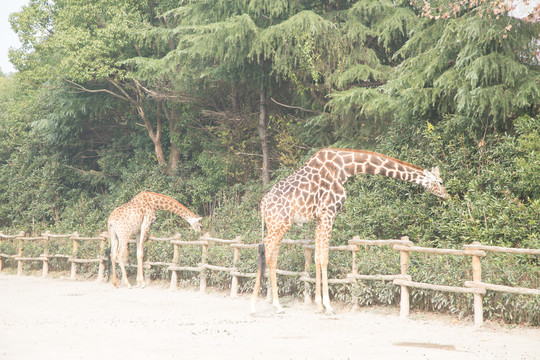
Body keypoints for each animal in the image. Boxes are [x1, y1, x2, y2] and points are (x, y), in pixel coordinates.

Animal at [251, 148, 450, 314]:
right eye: (440, 182)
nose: (447, 196)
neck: (345, 167)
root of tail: (263, 204)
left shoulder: (319, 218)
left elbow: (317, 257)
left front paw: (318, 305)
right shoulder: (328, 213)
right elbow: (324, 258)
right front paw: (328, 306)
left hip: (275, 224)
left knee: (269, 254)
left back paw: (271, 303)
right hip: (280, 223)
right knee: (267, 252)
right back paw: (265, 304)